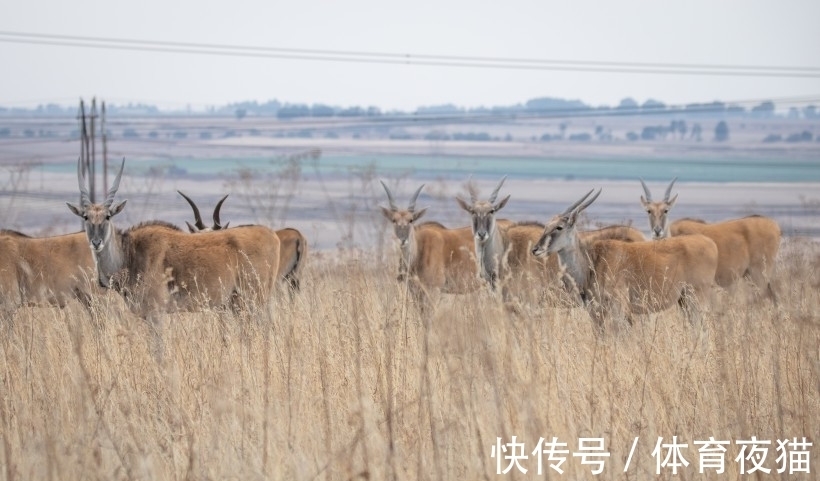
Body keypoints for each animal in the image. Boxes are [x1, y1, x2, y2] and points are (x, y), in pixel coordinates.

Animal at [65, 158, 282, 318]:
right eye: (86, 217)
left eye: (108, 216)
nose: (96, 242)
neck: (131, 252)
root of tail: (271, 234)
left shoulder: (157, 313)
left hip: (255, 300)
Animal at [532, 189, 716, 328]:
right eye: (546, 226)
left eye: (559, 227)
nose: (536, 249)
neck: (592, 261)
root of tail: (710, 243)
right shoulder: (596, 312)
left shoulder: (618, 310)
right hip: (684, 302)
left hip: (696, 300)